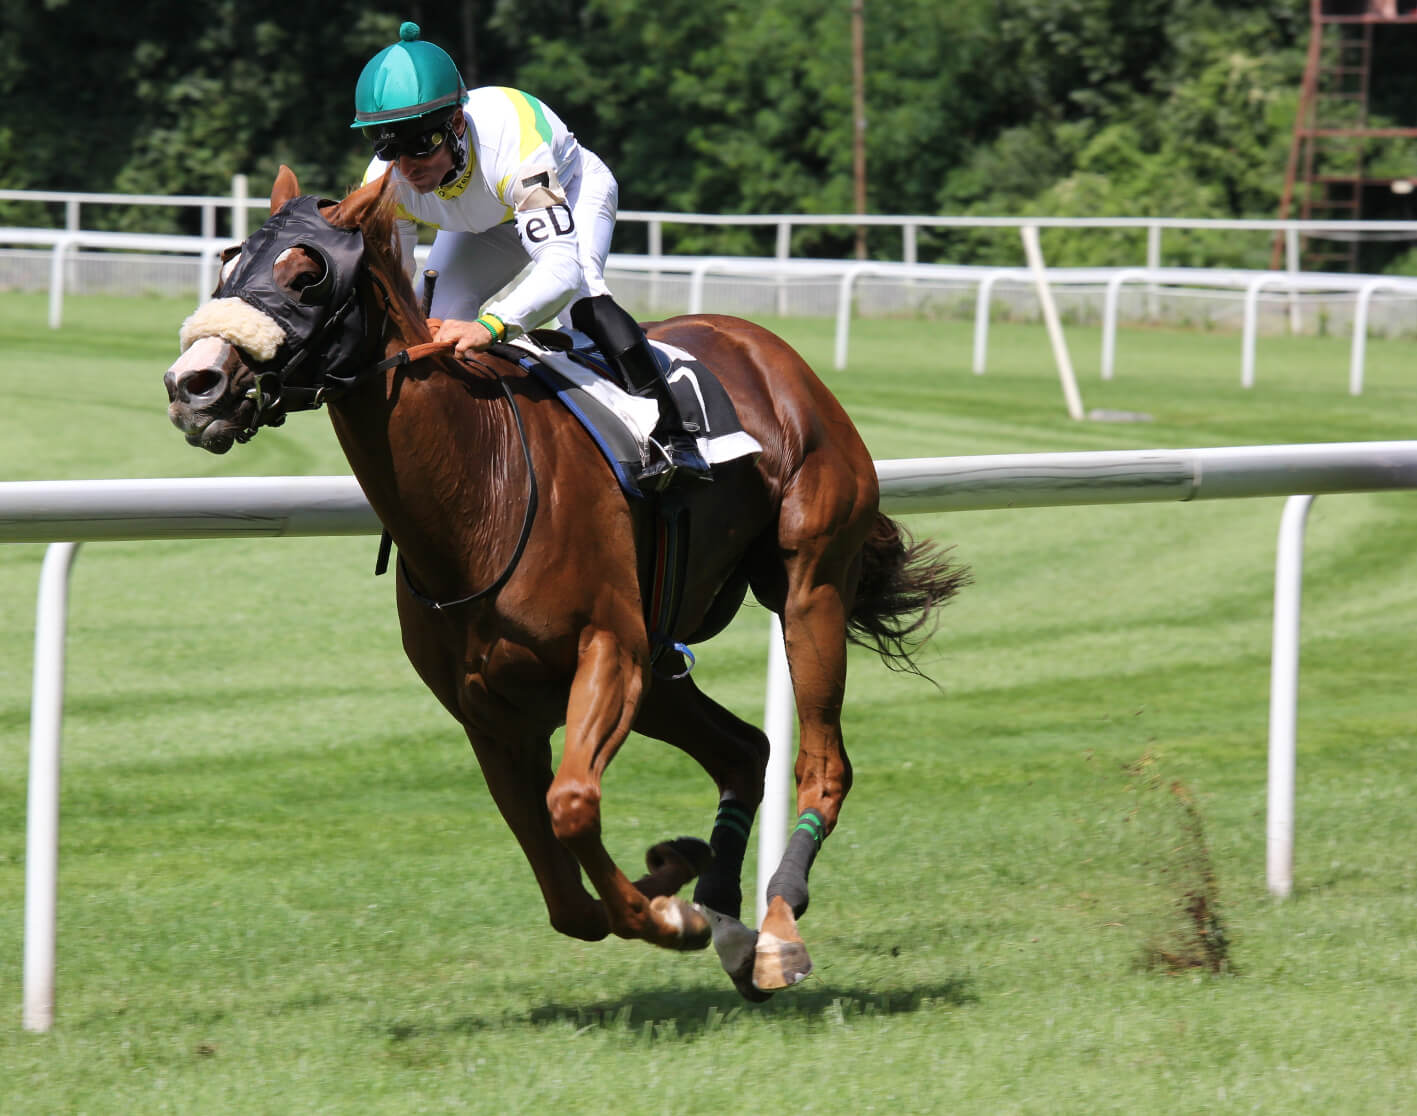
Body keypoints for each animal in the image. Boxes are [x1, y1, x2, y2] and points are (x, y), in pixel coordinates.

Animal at [163, 166, 967, 1000]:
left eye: (306, 275)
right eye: (228, 264)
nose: (194, 385)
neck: (478, 489)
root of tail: (770, 349)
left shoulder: (607, 652)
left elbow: (573, 806)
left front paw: (671, 912)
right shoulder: (490, 713)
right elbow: (563, 893)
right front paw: (677, 881)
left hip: (807, 586)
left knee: (822, 762)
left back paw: (775, 929)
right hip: (662, 664)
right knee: (745, 750)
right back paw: (723, 911)